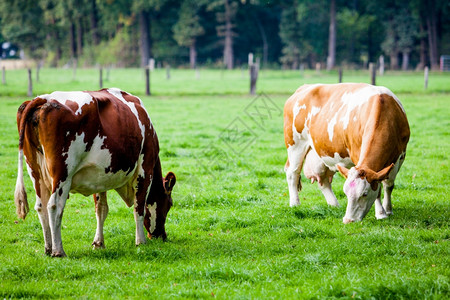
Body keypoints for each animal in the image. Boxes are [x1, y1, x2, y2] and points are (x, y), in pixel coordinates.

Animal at [14, 87, 176, 255]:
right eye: (169, 204)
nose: (162, 236)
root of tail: (44, 98)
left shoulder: (99, 177)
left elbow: (101, 210)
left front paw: (98, 243)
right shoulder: (145, 170)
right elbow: (139, 207)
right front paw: (141, 242)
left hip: (35, 172)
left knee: (41, 206)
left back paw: (48, 248)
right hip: (62, 173)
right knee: (54, 205)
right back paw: (58, 251)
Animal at [284, 83, 412, 224]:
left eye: (364, 194)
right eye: (346, 193)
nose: (348, 220)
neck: (385, 112)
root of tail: (303, 88)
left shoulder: (399, 157)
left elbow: (388, 185)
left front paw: (388, 210)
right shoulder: (357, 154)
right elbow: (379, 189)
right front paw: (380, 213)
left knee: (323, 180)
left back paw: (334, 205)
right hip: (295, 144)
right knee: (293, 173)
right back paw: (295, 203)